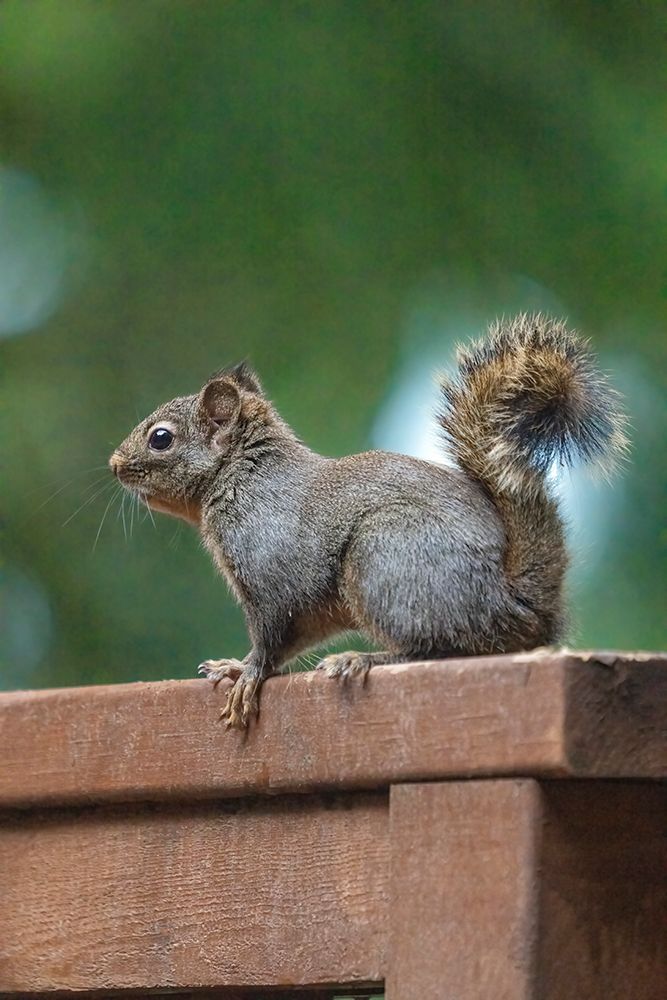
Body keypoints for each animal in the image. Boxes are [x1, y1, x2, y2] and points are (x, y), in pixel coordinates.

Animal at [110, 313, 626, 728]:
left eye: (160, 438)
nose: (114, 464)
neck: (242, 475)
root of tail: (518, 600)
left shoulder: (270, 571)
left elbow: (271, 635)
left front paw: (249, 676)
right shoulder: (308, 609)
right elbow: (292, 639)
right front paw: (234, 667)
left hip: (385, 558)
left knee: (441, 650)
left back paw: (365, 658)